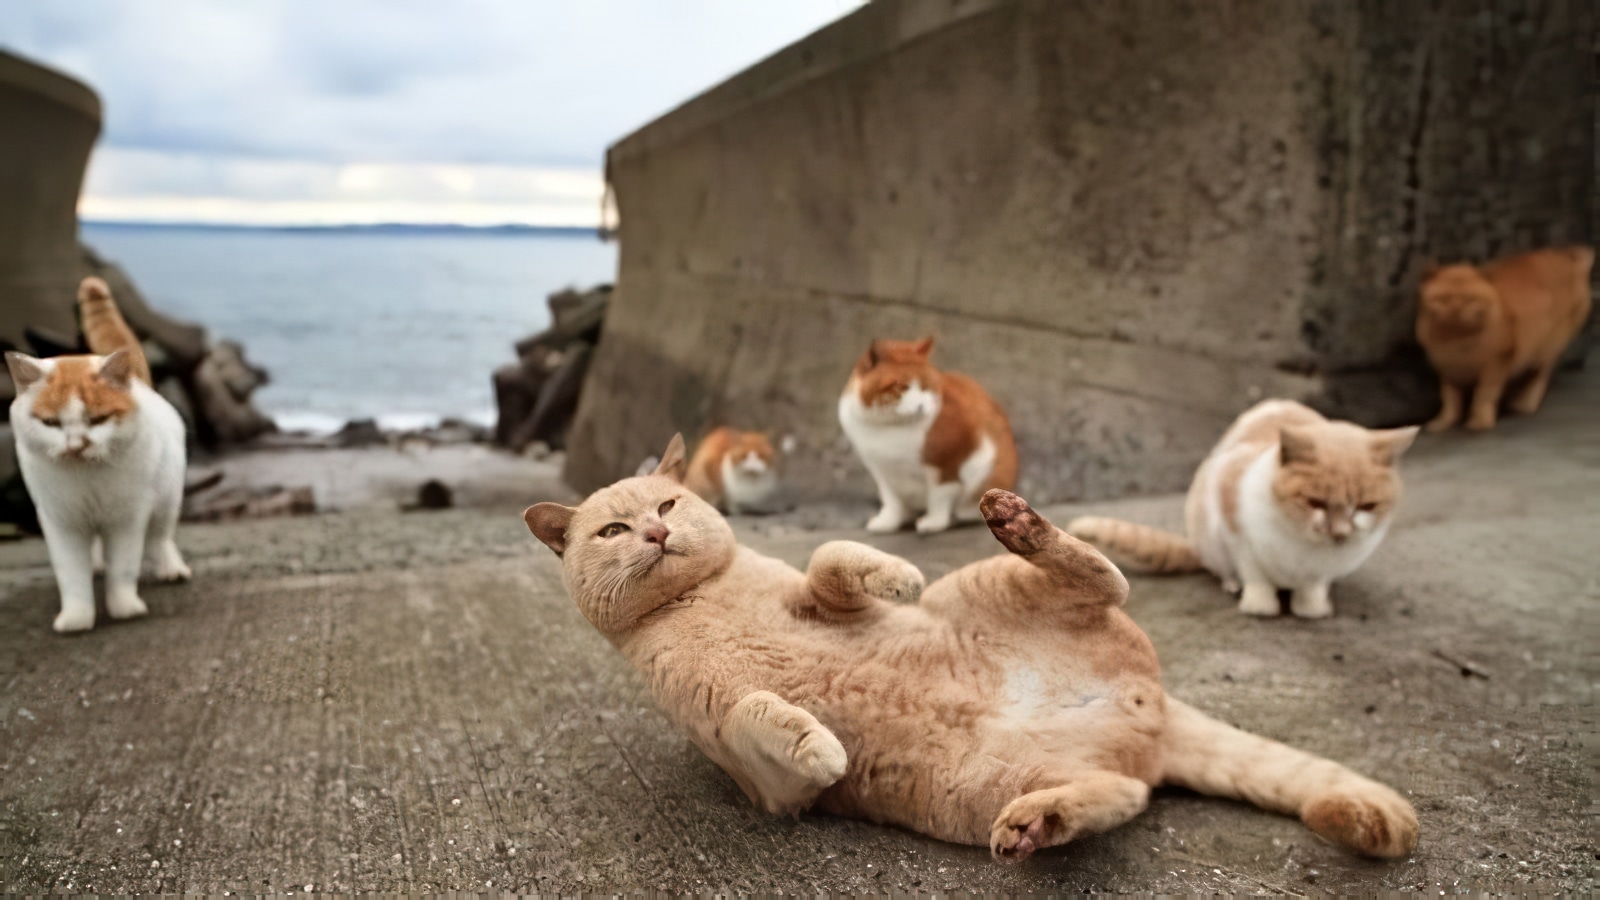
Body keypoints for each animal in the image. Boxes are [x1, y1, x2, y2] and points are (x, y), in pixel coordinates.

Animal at [5, 275, 190, 630]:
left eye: (99, 419)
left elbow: (125, 567)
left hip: (166, 498)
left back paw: (170, 568)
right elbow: (71, 574)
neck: (86, 479)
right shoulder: (60, 521)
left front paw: (125, 608)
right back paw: (97, 565)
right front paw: (77, 618)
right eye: (51, 422)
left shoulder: (128, 518)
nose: (77, 445)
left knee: (160, 537)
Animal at [838, 336, 1011, 531]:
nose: (921, 406)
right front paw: (889, 521)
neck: (887, 426)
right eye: (901, 387)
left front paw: (935, 521)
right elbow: (891, 499)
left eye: (926, 387)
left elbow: (939, 494)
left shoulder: (948, 459)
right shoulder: (880, 470)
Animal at [1068, 398, 1420, 614]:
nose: (1340, 532)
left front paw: (1312, 608)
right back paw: (1231, 583)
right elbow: (1255, 572)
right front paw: (1260, 605)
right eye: (1315, 502)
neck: (1302, 542)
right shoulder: (1235, 528)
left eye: (1367, 505)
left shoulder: (1320, 572)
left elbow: (1314, 585)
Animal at [1420, 243, 1593, 429]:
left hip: (1549, 347)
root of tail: (1567, 255)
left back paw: (1525, 403)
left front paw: (1480, 421)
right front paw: (1444, 421)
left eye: (1469, 299)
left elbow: (1484, 395)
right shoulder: (1448, 369)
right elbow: (1450, 399)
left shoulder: (1497, 364)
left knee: (1540, 375)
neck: (1458, 341)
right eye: (1444, 298)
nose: (1456, 310)